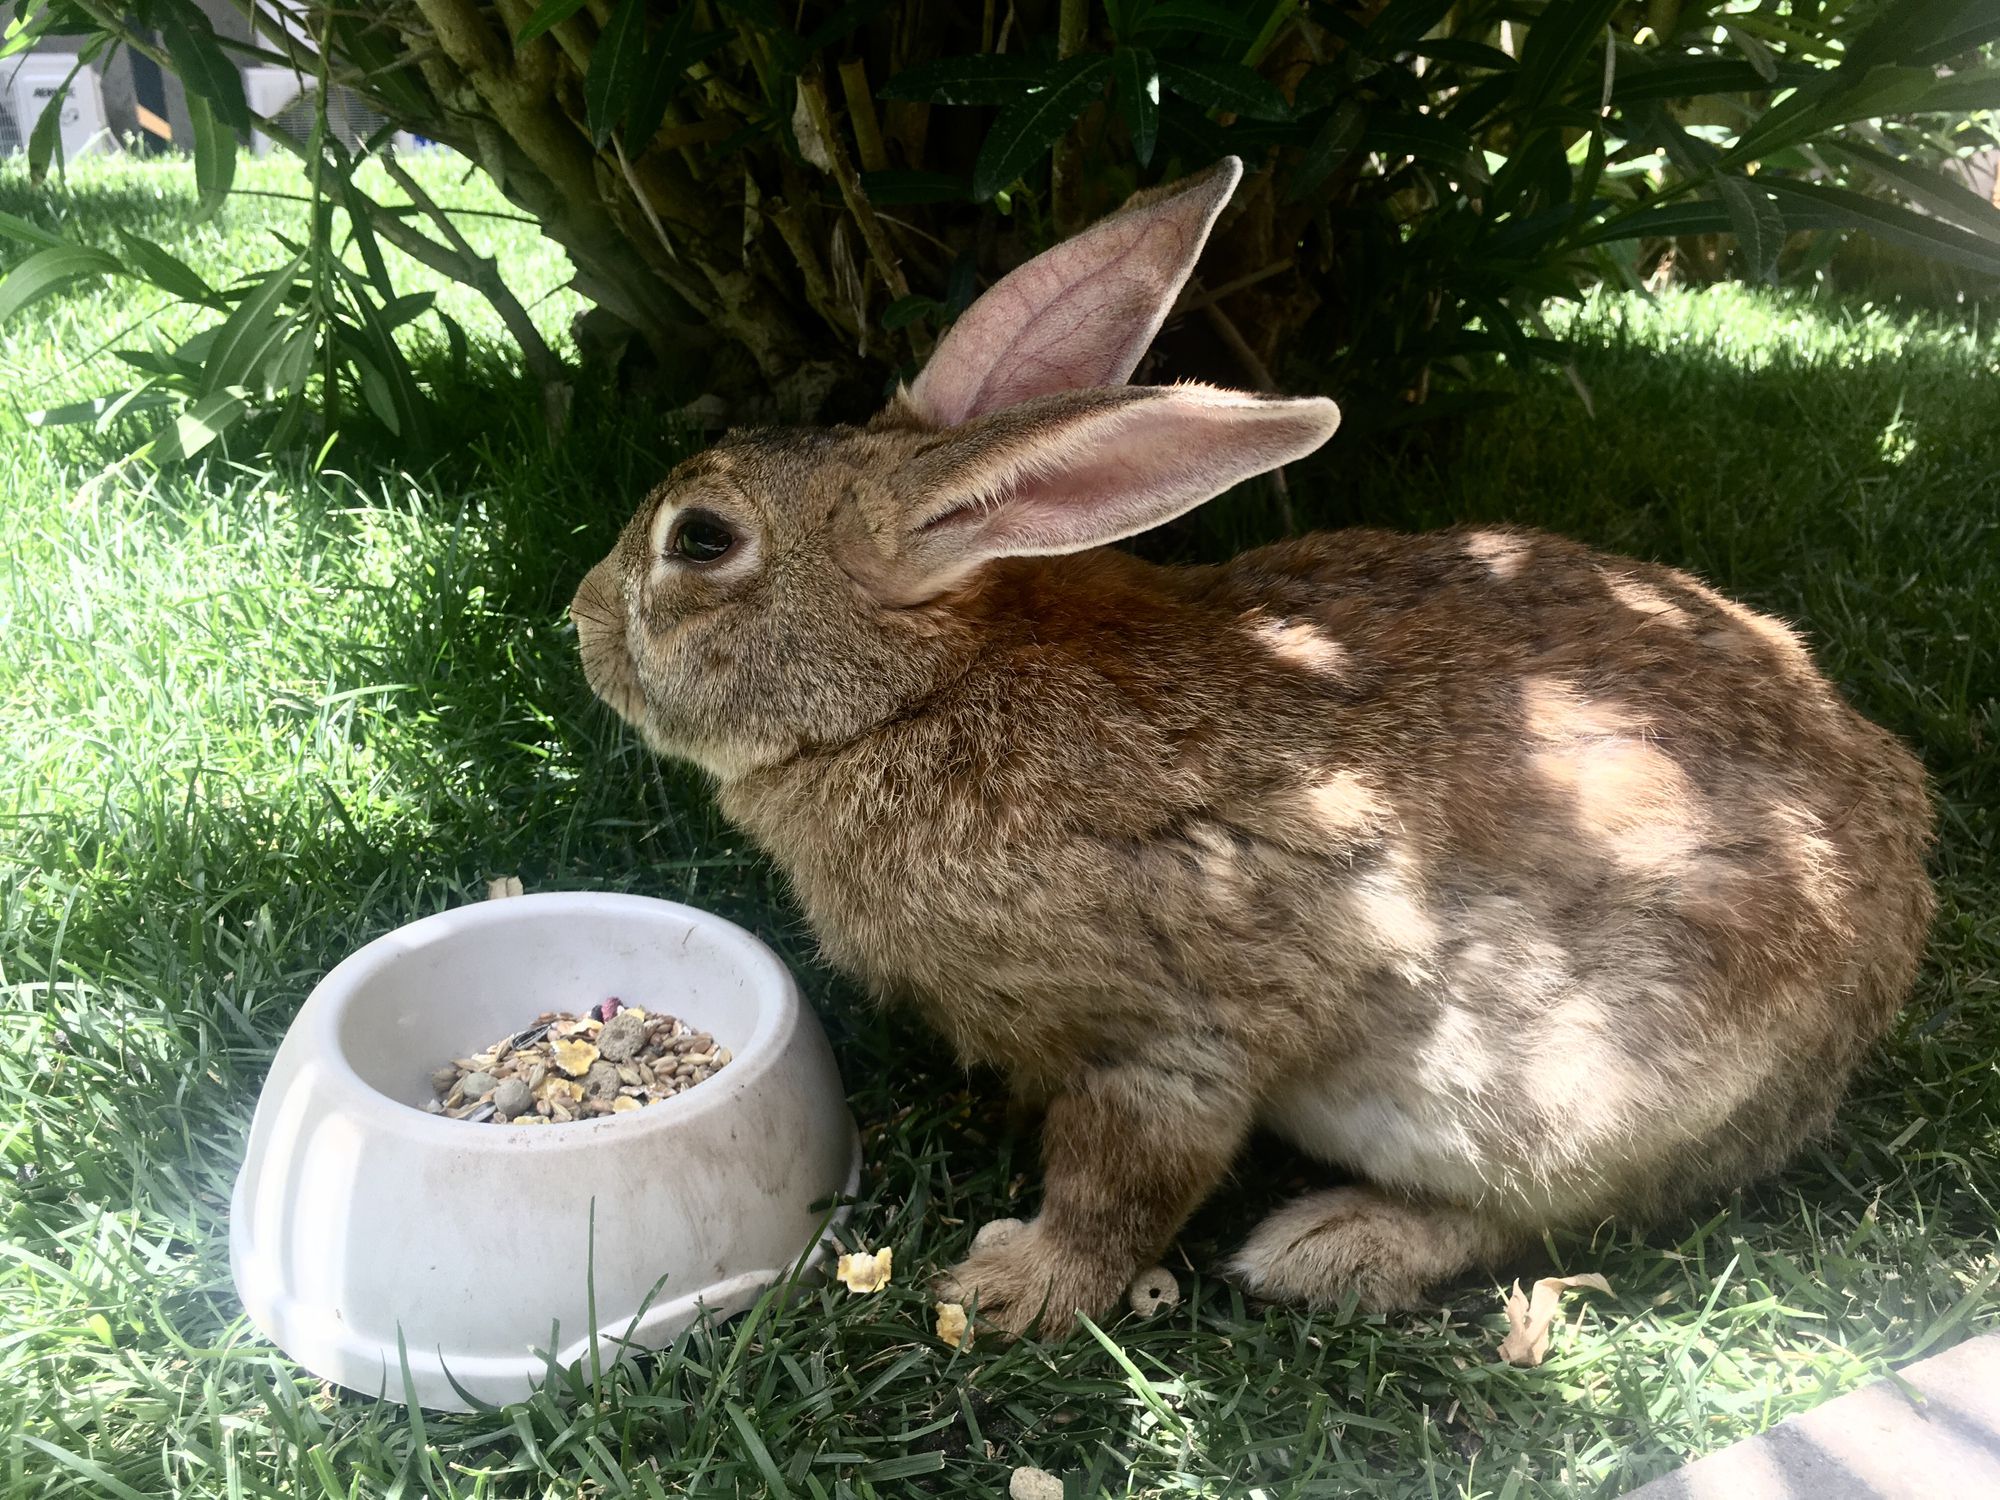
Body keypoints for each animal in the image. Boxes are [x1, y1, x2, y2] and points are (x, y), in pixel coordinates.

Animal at [572, 162, 1928, 1336]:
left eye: (700, 540)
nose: (578, 621)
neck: (918, 693)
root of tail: (1881, 961)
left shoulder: (1169, 1032)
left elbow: (1124, 1175)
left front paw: (1012, 1288)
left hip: (1560, 1086)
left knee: (1552, 1210)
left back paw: (1330, 1247)